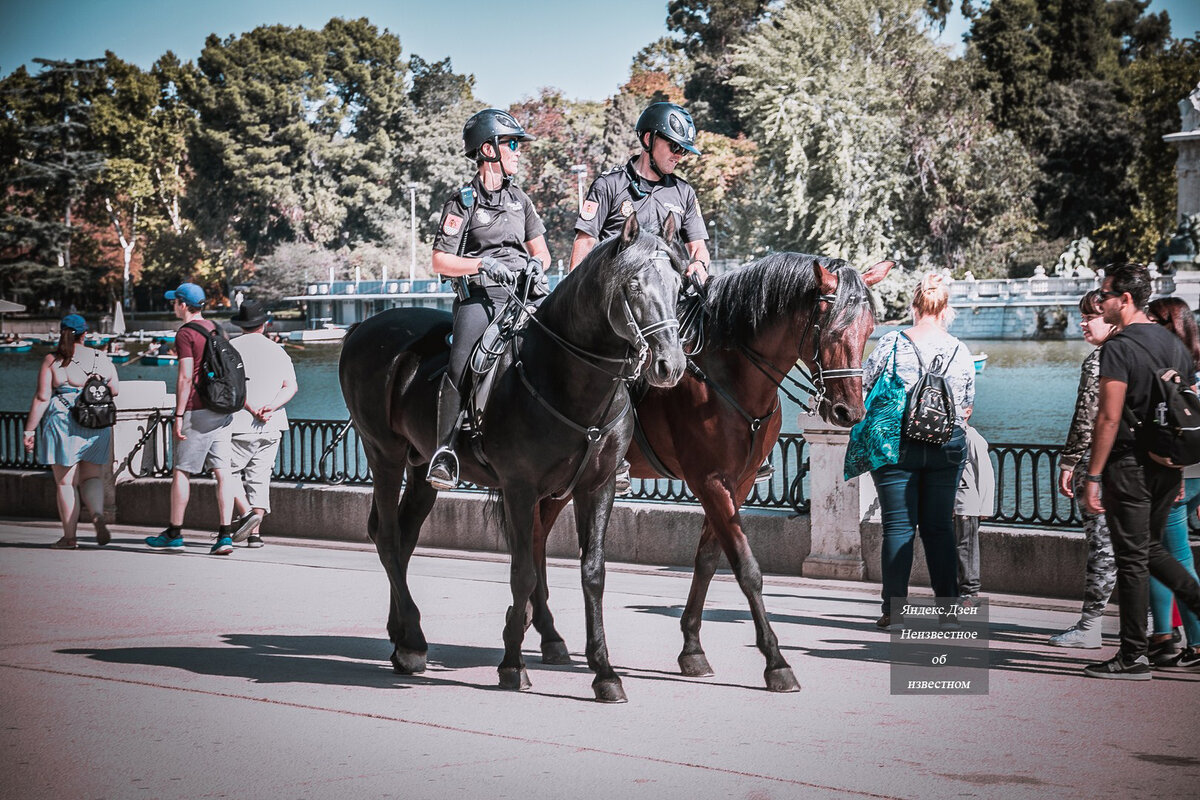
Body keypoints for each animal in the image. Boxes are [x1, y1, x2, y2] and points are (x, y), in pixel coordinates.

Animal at [343, 212, 691, 700]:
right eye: (635, 286)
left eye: (679, 285)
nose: (670, 365)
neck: (568, 379)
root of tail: (364, 326)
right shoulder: (520, 489)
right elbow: (523, 572)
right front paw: (512, 664)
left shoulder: (597, 486)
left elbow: (592, 573)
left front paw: (604, 673)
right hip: (384, 455)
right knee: (388, 537)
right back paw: (411, 641)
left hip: (420, 466)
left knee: (405, 535)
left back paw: (402, 637)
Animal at [528, 253, 892, 690]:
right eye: (834, 331)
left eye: (870, 330)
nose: (849, 412)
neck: (729, 372)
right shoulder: (710, 481)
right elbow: (746, 567)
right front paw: (776, 661)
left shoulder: (737, 483)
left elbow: (707, 560)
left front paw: (692, 649)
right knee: (534, 537)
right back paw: (544, 631)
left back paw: (547, 632)